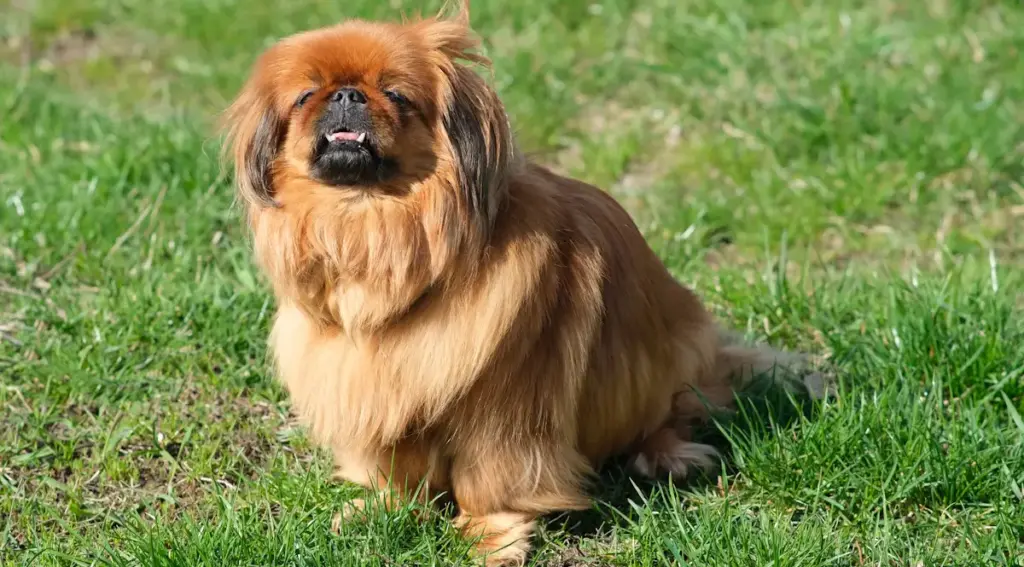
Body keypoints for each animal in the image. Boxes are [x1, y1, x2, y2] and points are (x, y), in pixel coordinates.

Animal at [222, 3, 806, 560]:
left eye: (395, 94)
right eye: (306, 96)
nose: (346, 93)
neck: (373, 233)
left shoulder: (507, 413)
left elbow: (492, 483)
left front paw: (490, 540)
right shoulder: (370, 386)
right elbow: (396, 471)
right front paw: (382, 512)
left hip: (675, 359)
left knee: (673, 415)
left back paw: (667, 455)